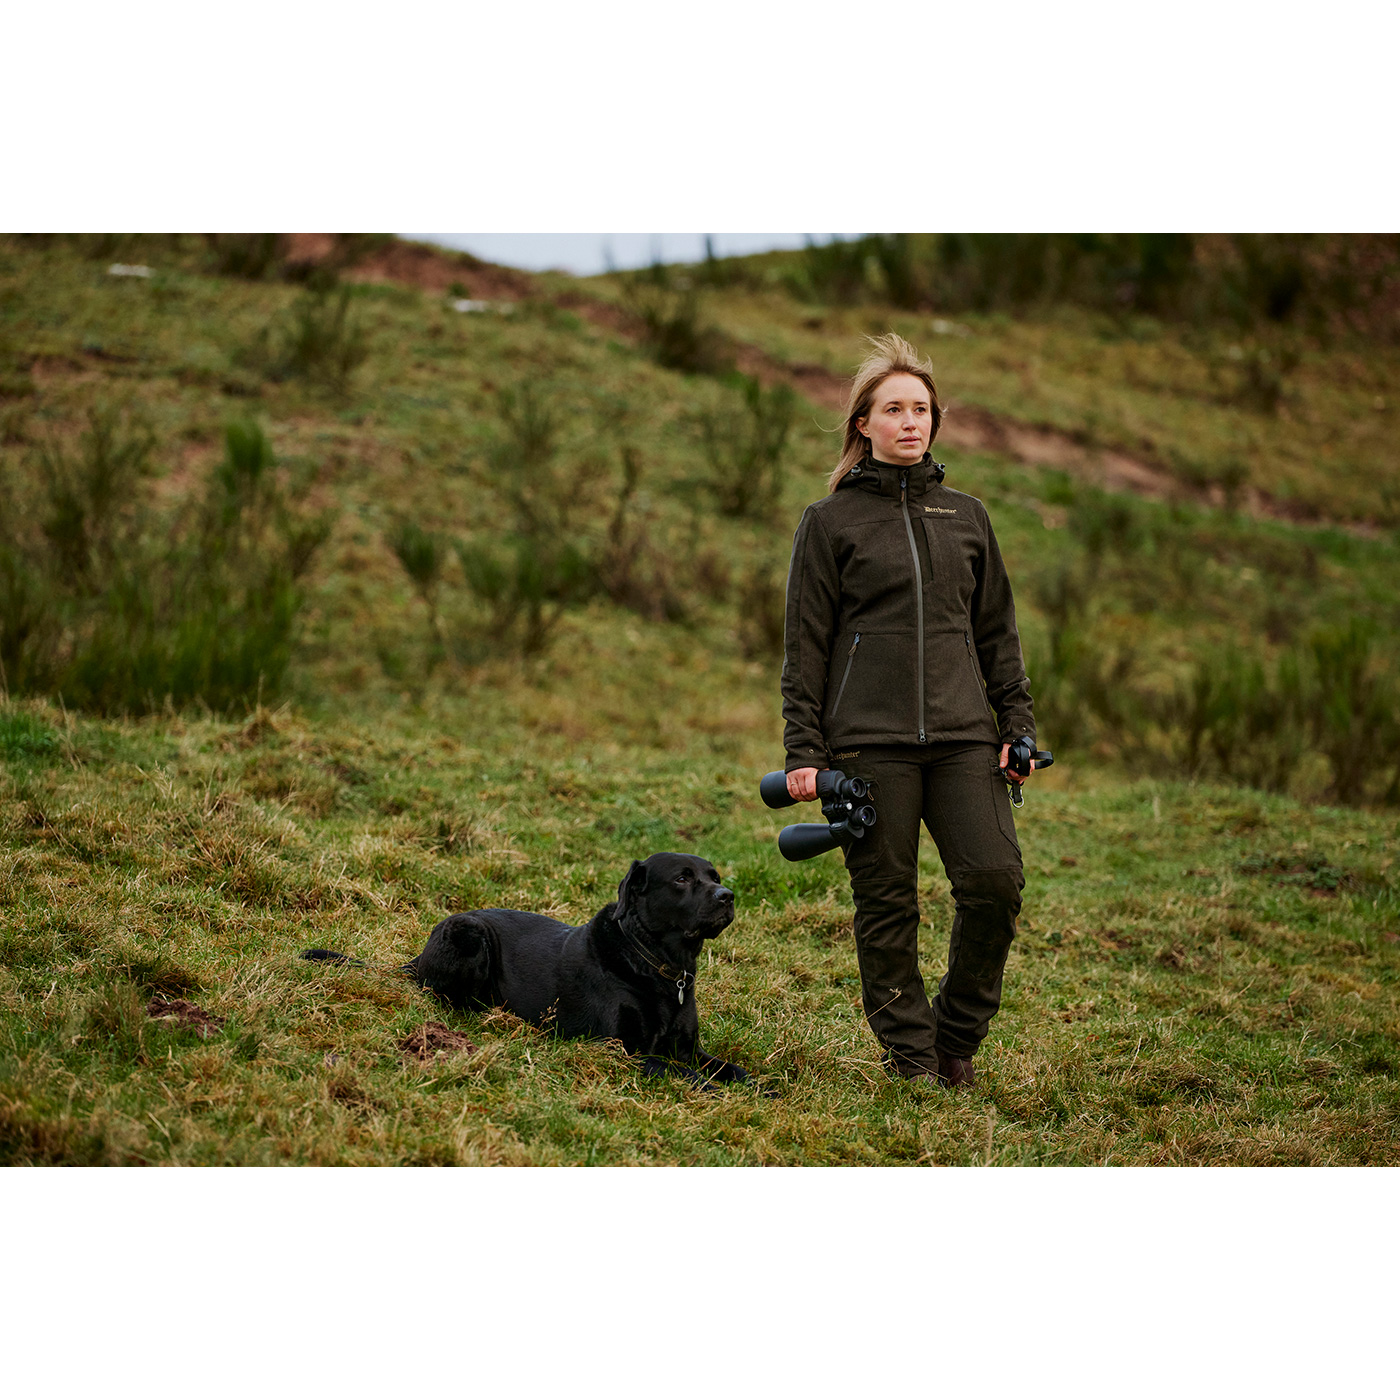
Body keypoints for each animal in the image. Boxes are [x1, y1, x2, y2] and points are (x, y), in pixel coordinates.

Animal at [303, 852, 753, 1088]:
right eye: (682, 878)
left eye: (714, 876)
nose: (728, 895)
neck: (659, 967)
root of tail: (416, 958)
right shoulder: (623, 1052)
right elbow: (691, 1076)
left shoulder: (688, 1048)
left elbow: (734, 1071)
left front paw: (761, 1089)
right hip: (470, 935)